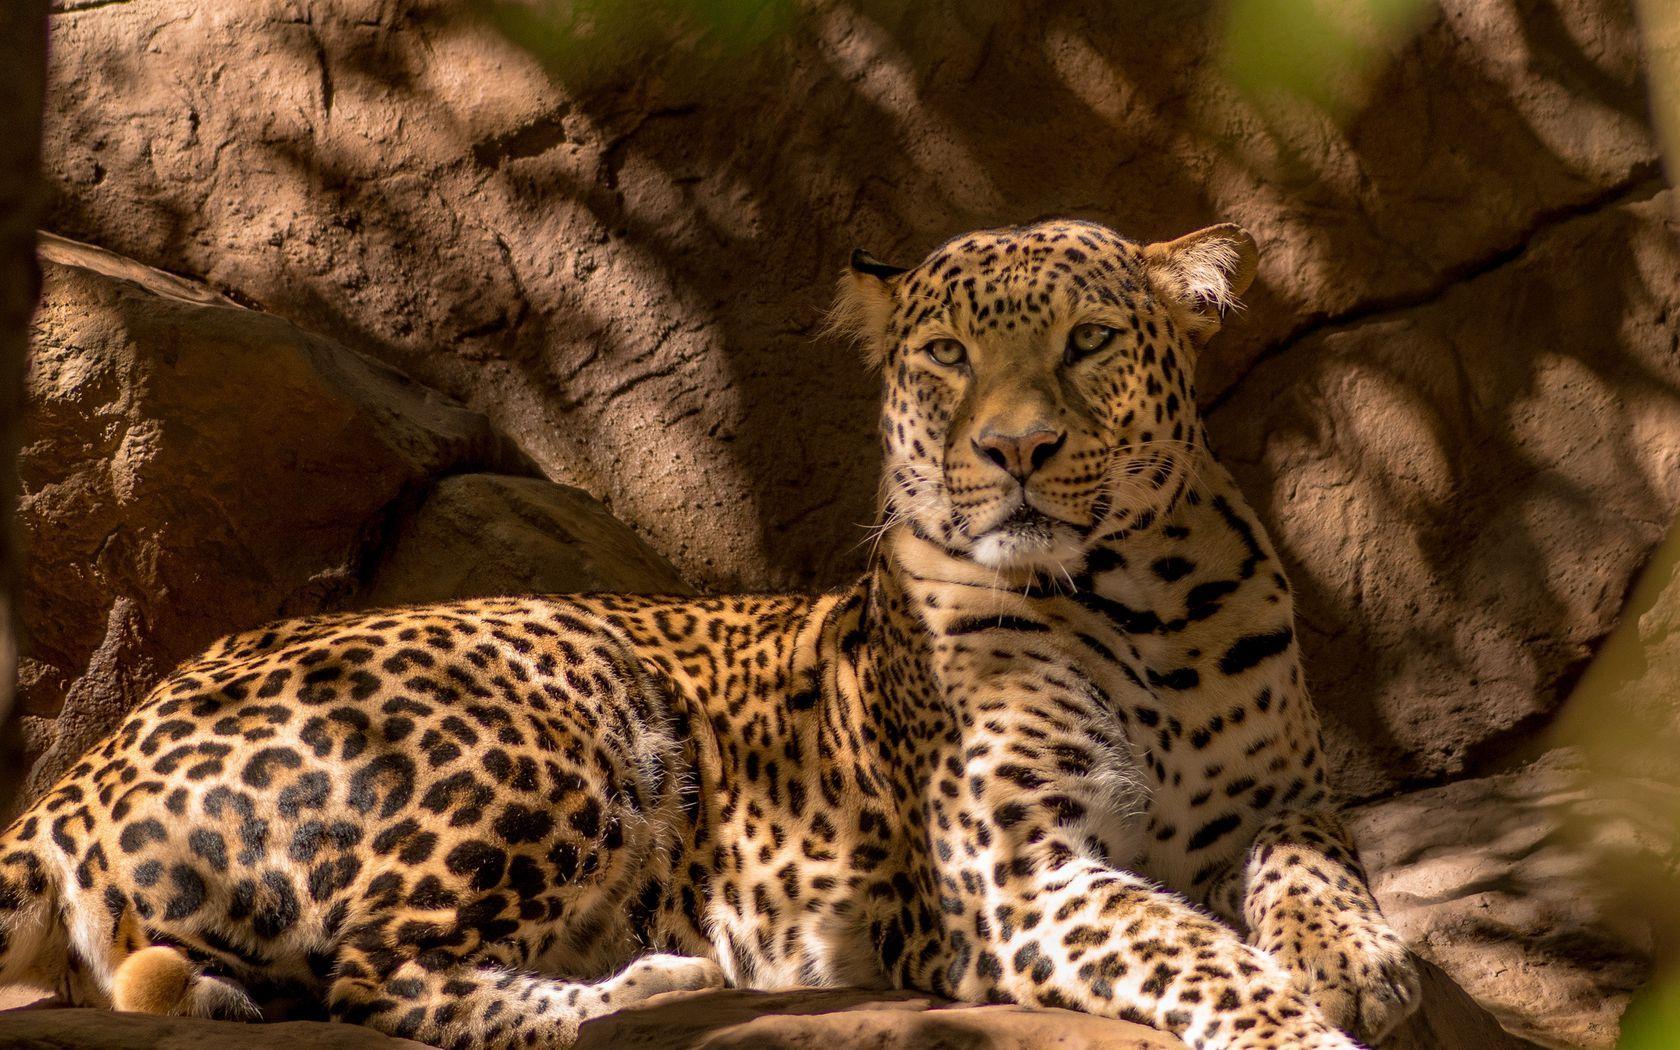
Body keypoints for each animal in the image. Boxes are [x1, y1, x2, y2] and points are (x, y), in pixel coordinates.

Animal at [0, 218, 1420, 1049]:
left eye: (1089, 342)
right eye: (948, 356)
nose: (1014, 451)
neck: (1141, 600)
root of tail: (92, 761)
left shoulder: (1285, 799)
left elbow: (1313, 873)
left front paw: (1364, 965)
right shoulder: (1016, 879)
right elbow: (1189, 950)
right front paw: (1300, 1025)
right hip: (560, 695)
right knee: (379, 979)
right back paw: (660, 986)